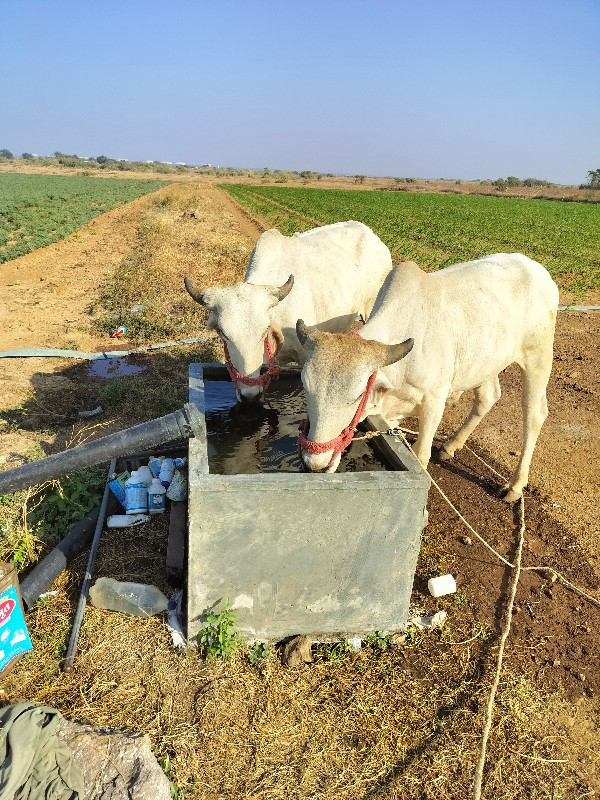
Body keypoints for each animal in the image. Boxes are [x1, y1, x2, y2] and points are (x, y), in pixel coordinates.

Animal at [298, 252, 560, 500]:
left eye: (359, 394)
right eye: (306, 387)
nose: (315, 464)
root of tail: (537, 269)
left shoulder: (435, 399)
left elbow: (421, 455)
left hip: (538, 359)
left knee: (534, 415)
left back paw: (515, 485)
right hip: (486, 362)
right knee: (488, 397)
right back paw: (450, 446)